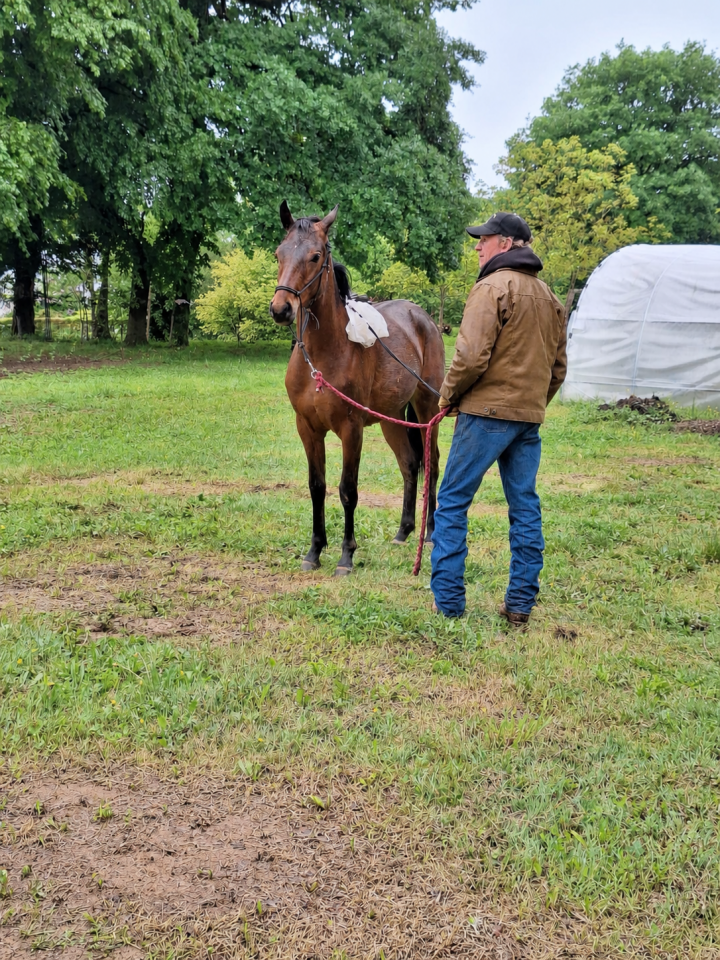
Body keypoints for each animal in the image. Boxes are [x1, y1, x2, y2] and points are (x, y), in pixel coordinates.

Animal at [269, 201, 445, 576]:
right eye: (279, 253)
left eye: (316, 256)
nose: (281, 309)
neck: (325, 354)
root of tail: (422, 316)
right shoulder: (308, 429)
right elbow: (317, 486)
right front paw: (314, 551)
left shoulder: (352, 430)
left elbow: (348, 490)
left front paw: (346, 555)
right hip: (393, 418)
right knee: (410, 464)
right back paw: (404, 531)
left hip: (426, 408)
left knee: (433, 464)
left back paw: (430, 532)